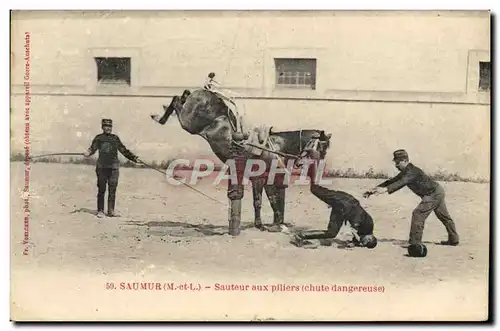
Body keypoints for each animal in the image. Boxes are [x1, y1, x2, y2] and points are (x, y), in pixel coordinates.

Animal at [152, 89, 332, 236]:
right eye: (321, 147)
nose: (315, 165)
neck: (275, 146)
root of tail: (206, 93)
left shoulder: (260, 180)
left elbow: (261, 202)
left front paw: (263, 225)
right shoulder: (263, 180)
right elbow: (269, 201)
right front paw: (275, 226)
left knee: (180, 97)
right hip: (189, 122)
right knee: (177, 101)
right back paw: (159, 117)